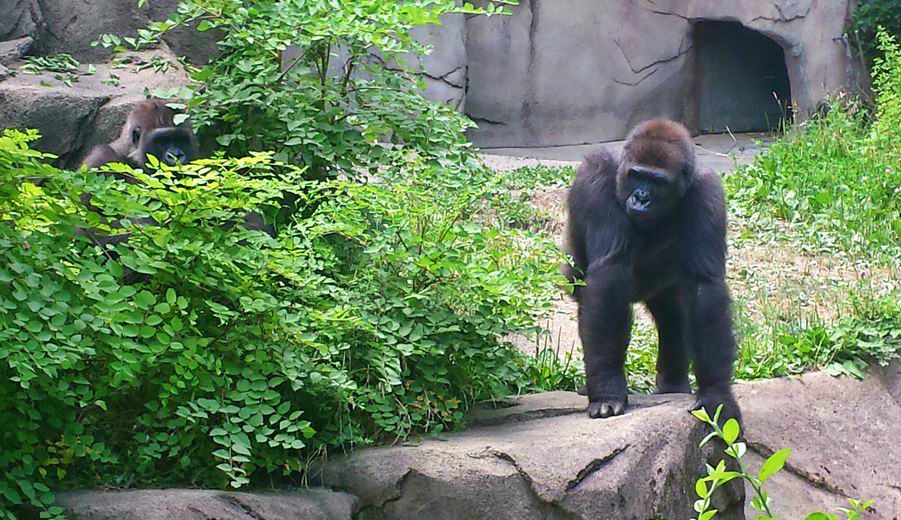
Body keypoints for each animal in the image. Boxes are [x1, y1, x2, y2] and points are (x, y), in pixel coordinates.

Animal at [562, 119, 740, 425]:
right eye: (636, 176)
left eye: (657, 181)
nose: (641, 198)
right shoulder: (596, 179)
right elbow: (608, 276)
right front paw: (607, 388)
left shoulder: (706, 193)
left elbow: (704, 287)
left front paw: (716, 394)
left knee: (673, 316)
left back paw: (673, 384)